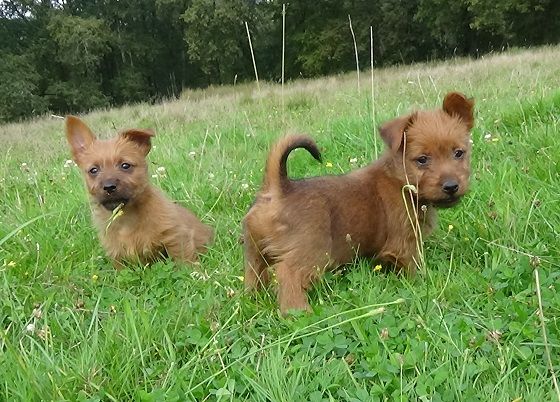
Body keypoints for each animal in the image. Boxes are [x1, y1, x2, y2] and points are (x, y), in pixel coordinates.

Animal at [65, 116, 213, 266]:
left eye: (125, 165)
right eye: (93, 170)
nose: (109, 186)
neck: (126, 217)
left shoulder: (175, 236)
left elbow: (184, 261)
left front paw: (192, 271)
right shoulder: (117, 255)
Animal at [243, 92, 474, 314]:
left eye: (458, 153)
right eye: (422, 159)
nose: (451, 186)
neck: (400, 180)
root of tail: (279, 188)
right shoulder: (404, 245)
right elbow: (413, 269)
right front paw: (420, 284)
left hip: (255, 251)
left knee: (255, 273)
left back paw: (253, 299)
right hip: (309, 252)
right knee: (289, 275)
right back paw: (299, 313)